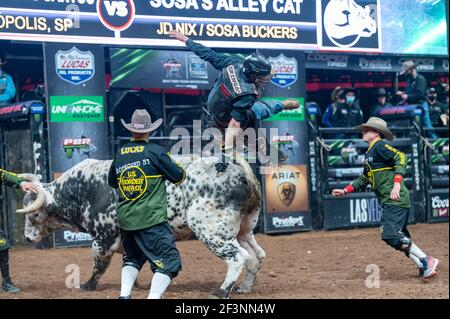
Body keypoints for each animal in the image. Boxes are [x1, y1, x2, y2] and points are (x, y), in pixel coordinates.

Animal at [17, 158, 266, 300]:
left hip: (211, 231)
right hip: (243, 230)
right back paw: (244, 288)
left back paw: (222, 291)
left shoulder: (103, 238)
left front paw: (87, 285)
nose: (27, 238)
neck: (84, 189)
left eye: (34, 214)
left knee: (238, 257)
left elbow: (99, 266)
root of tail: (241, 174)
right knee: (255, 256)